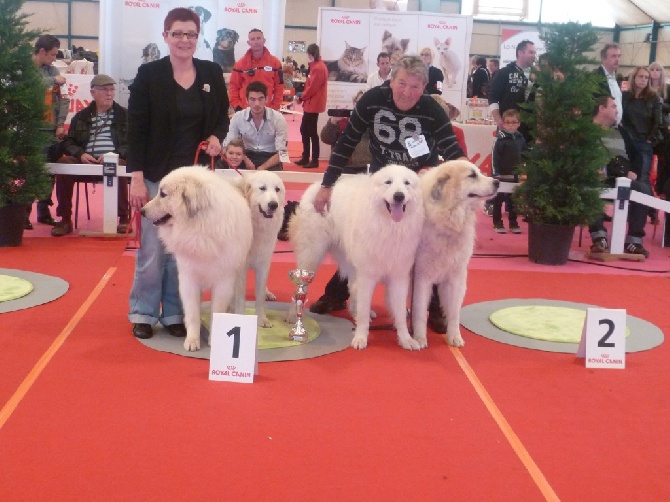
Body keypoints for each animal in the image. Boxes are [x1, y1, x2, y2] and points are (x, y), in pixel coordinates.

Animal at [142, 167, 255, 352]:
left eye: (163, 194)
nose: (141, 211)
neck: (199, 228)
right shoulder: (189, 280)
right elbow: (193, 313)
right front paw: (192, 340)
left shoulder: (223, 282)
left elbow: (216, 311)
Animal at [228, 171, 286, 328]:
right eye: (262, 188)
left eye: (277, 189)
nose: (273, 205)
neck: (256, 226)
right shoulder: (241, 268)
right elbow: (240, 298)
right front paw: (239, 317)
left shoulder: (263, 264)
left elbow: (259, 297)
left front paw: (262, 320)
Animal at [288, 164, 426, 350]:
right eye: (388, 182)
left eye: (407, 183)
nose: (399, 196)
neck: (389, 227)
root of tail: (316, 185)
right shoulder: (367, 275)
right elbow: (363, 310)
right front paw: (360, 337)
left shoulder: (399, 277)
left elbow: (399, 313)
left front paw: (406, 339)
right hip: (310, 258)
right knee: (301, 288)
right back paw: (291, 316)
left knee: (353, 287)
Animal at [412, 162, 502, 350]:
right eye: (472, 175)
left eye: (480, 172)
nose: (497, 182)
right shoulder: (422, 276)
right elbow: (420, 311)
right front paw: (419, 338)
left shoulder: (456, 277)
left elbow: (454, 312)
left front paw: (454, 337)